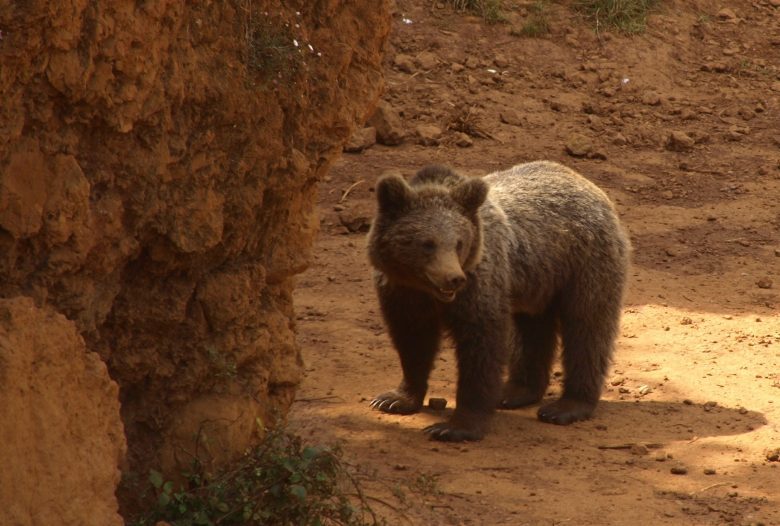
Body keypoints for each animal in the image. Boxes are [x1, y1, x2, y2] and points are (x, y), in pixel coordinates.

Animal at [367, 160, 630, 442]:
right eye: (427, 244)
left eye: (458, 243)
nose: (454, 278)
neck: (424, 290)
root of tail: (589, 186)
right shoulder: (400, 294)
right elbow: (413, 343)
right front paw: (394, 399)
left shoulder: (479, 287)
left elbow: (481, 348)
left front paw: (455, 426)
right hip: (537, 281)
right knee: (532, 331)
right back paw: (516, 390)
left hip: (584, 265)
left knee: (587, 327)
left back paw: (566, 406)